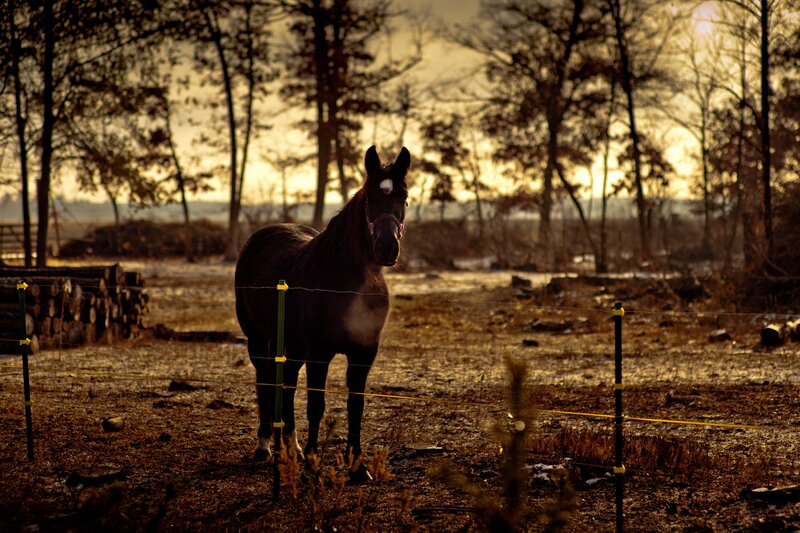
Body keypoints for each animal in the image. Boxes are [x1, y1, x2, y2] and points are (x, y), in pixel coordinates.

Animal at [234, 145, 410, 474]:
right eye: (370, 198)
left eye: (404, 197)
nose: (387, 248)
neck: (346, 283)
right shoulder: (319, 352)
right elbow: (316, 405)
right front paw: (313, 464)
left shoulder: (363, 353)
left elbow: (356, 405)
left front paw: (358, 467)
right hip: (259, 340)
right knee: (266, 381)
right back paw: (264, 446)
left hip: (293, 346)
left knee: (288, 384)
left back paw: (292, 448)